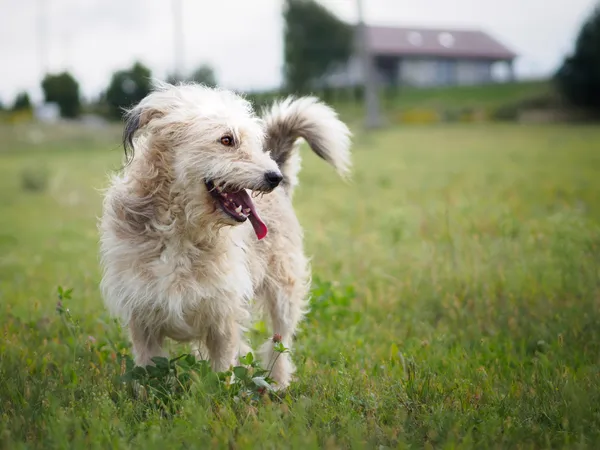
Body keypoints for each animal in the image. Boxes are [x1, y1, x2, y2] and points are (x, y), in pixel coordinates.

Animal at [98, 79, 352, 388]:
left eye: (254, 142)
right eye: (227, 140)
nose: (274, 177)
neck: (181, 227)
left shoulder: (223, 317)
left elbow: (222, 373)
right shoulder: (143, 320)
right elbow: (149, 372)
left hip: (284, 292)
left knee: (279, 343)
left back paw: (278, 384)